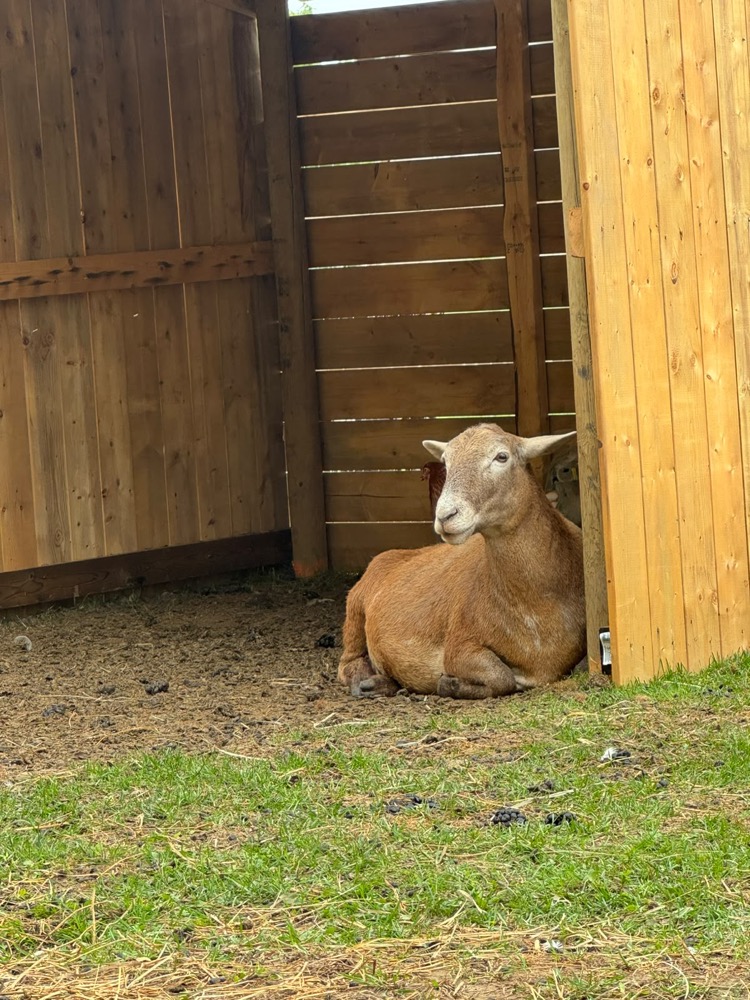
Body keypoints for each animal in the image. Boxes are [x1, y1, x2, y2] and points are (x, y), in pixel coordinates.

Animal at [338, 423, 586, 699]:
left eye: (502, 456)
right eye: (446, 461)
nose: (445, 515)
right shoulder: (459, 644)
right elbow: (501, 676)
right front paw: (449, 684)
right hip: (355, 611)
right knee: (347, 663)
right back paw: (367, 682)